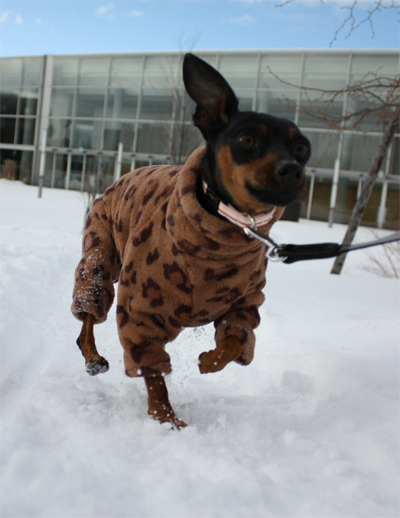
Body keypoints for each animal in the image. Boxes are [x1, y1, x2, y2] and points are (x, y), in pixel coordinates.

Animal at [72, 53, 311, 428]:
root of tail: (123, 176)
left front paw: (210, 360)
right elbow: (153, 373)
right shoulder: (141, 312)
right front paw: (166, 418)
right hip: (100, 255)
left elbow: (235, 340)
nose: (293, 169)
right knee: (87, 315)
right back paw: (92, 355)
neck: (222, 233)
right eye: (247, 140)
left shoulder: (245, 305)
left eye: (302, 147)